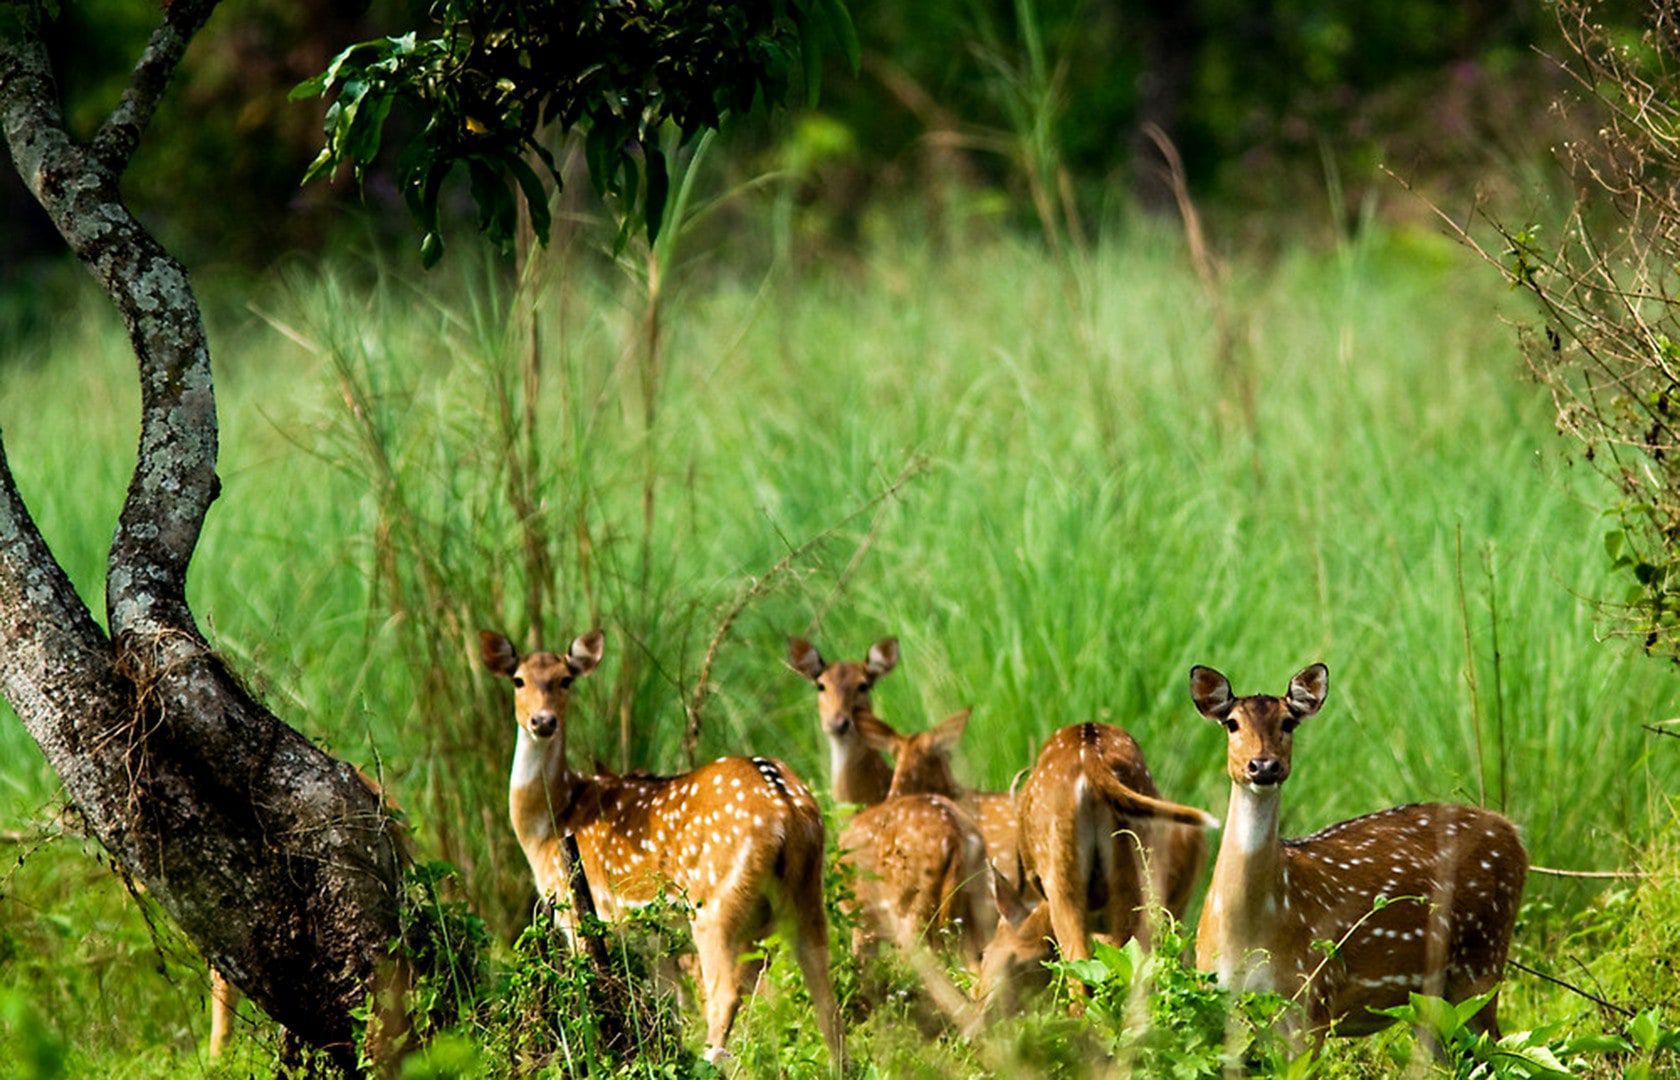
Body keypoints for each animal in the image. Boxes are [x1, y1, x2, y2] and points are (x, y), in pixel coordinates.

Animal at [974, 722, 1223, 1007]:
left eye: (986, 952)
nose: (980, 1000)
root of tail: (1090, 759)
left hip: (1061, 872)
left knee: (1079, 970)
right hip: (1131, 867)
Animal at [1189, 661, 1532, 1041]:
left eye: (1288, 722)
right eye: (1232, 723)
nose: (1263, 766)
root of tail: (1512, 831)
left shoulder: (1314, 993)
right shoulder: (1219, 995)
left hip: (1484, 958)